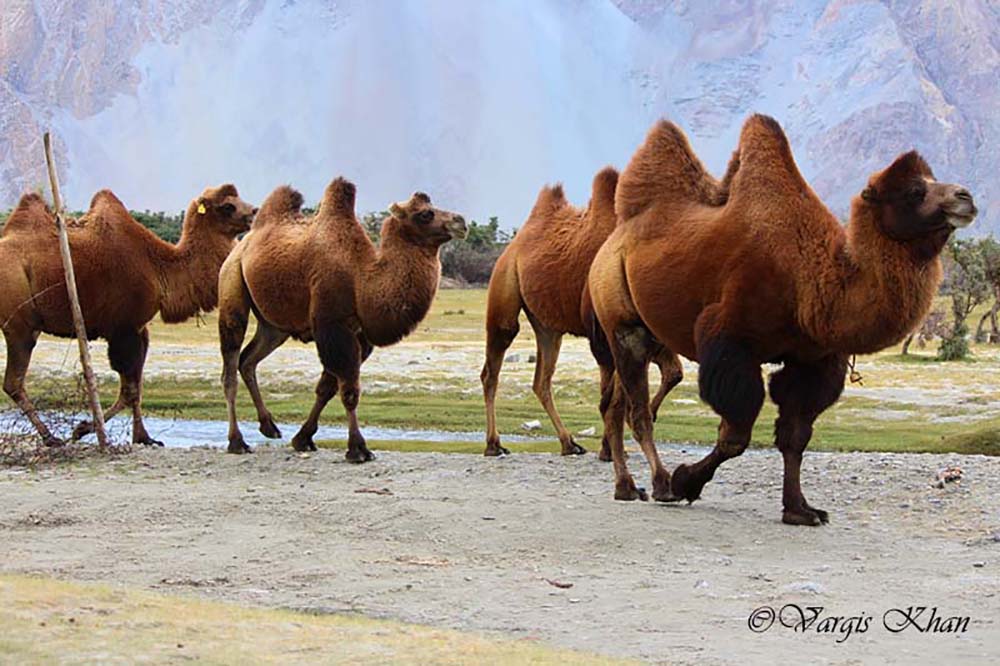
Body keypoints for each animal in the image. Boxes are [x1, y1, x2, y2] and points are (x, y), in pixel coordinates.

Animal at [1, 184, 258, 444]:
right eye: (228, 206)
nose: (254, 212)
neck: (160, 268)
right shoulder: (123, 329)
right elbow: (130, 390)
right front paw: (82, 429)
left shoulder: (139, 328)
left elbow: (137, 386)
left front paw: (144, 437)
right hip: (20, 322)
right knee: (13, 382)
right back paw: (50, 438)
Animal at [217, 174, 466, 460]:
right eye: (425, 214)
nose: (461, 222)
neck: (361, 278)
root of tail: (244, 242)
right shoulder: (332, 326)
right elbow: (348, 390)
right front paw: (358, 448)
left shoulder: (359, 336)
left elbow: (327, 388)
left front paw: (303, 438)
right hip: (232, 283)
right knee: (230, 365)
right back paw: (237, 441)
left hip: (275, 325)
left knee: (248, 360)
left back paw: (269, 426)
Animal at [482, 166, 688, 456]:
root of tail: (516, 243)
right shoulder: (602, 331)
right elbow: (610, 390)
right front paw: (609, 448)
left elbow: (672, 373)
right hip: (504, 282)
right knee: (494, 363)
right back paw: (494, 444)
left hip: (548, 326)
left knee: (541, 379)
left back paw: (569, 443)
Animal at [584, 116, 976, 528]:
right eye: (914, 190)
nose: (965, 197)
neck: (811, 277)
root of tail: (611, 243)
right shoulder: (731, 342)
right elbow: (735, 435)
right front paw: (685, 481)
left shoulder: (813, 359)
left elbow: (795, 434)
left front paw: (800, 509)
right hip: (622, 322)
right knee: (638, 411)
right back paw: (660, 484)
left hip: (644, 332)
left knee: (614, 406)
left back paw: (626, 487)